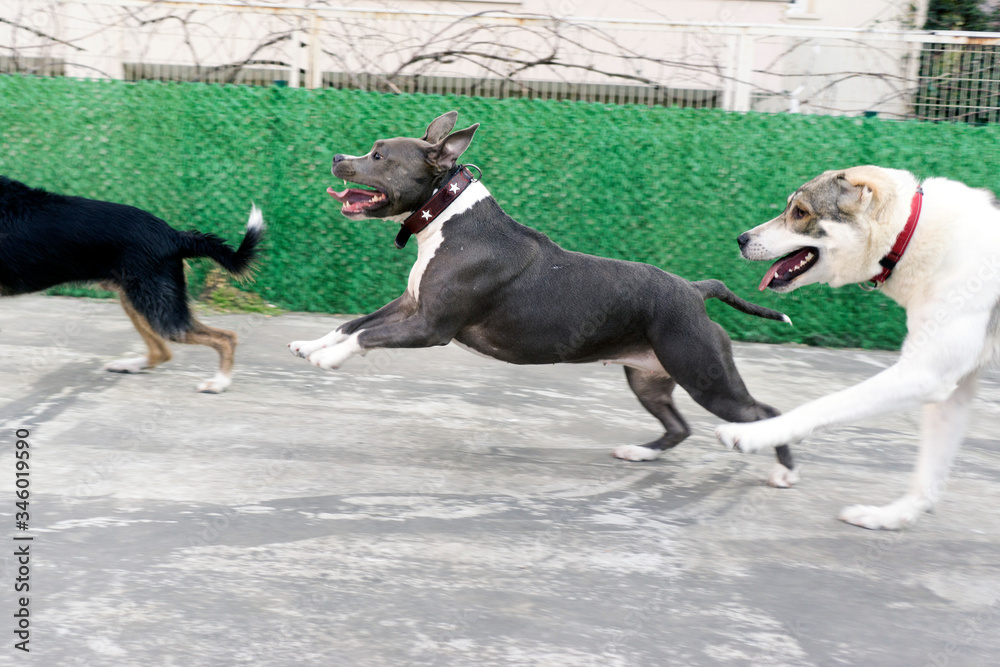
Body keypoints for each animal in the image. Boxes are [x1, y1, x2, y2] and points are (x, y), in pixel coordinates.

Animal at [0, 177, 264, 394]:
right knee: (162, 351)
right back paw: (130, 365)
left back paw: (219, 382)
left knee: (225, 338)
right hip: (138, 301)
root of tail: (174, 236)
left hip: (158, 310)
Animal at [288, 111, 796, 486]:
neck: (447, 216)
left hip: (705, 376)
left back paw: (783, 472)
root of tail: (695, 290)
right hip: (650, 377)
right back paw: (640, 453)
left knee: (765, 412)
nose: (337, 155)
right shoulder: (411, 304)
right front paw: (312, 346)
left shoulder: (430, 326)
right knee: (678, 426)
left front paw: (329, 359)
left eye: (377, 155)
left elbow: (367, 336)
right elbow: (353, 323)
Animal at [716, 164, 1000, 528]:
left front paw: (755, 434)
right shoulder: (953, 389)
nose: (741, 240)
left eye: (800, 212)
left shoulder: (924, 374)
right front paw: (891, 518)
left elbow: (821, 405)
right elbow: (927, 475)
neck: (910, 233)